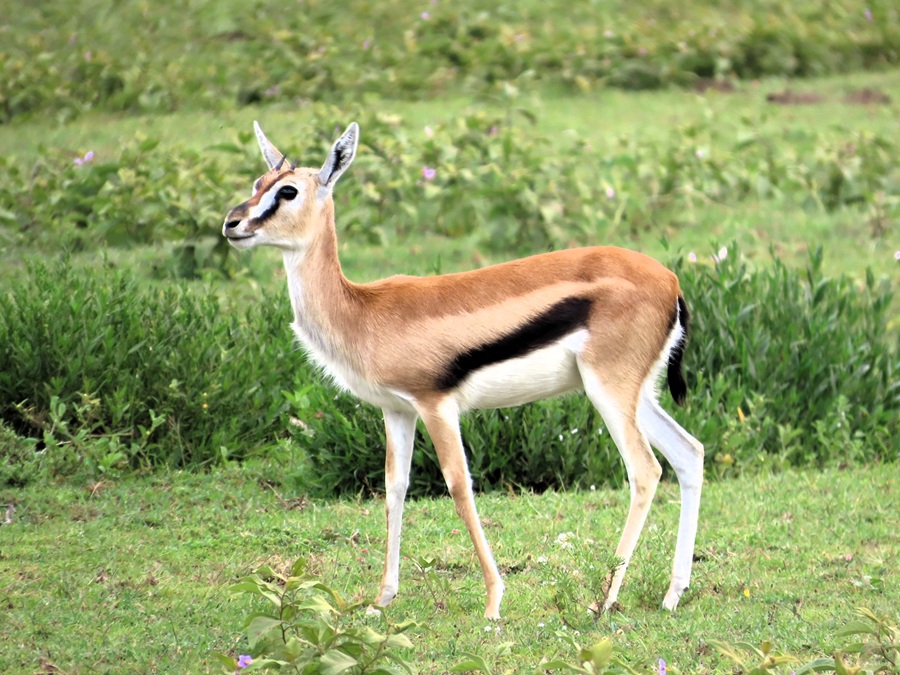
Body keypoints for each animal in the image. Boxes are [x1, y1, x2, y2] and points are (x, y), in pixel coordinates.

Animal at [222, 121, 704, 619]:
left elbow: (458, 485)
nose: (232, 224)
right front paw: (382, 599)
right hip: (632, 395)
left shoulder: (435, 405)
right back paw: (672, 594)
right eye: (257, 182)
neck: (362, 310)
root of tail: (671, 282)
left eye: (288, 191)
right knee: (689, 453)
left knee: (645, 470)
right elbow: (395, 487)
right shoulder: (397, 411)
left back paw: (604, 599)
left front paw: (493, 601)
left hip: (608, 391)